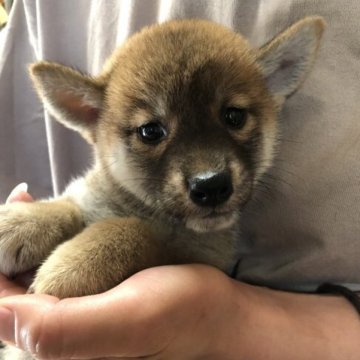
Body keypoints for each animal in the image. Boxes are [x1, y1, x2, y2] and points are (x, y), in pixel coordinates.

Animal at [0, 16, 324, 360]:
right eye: (151, 131)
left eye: (234, 116)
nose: (211, 185)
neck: (136, 206)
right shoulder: (84, 198)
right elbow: (65, 206)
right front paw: (18, 223)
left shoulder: (194, 255)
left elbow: (138, 232)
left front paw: (75, 265)